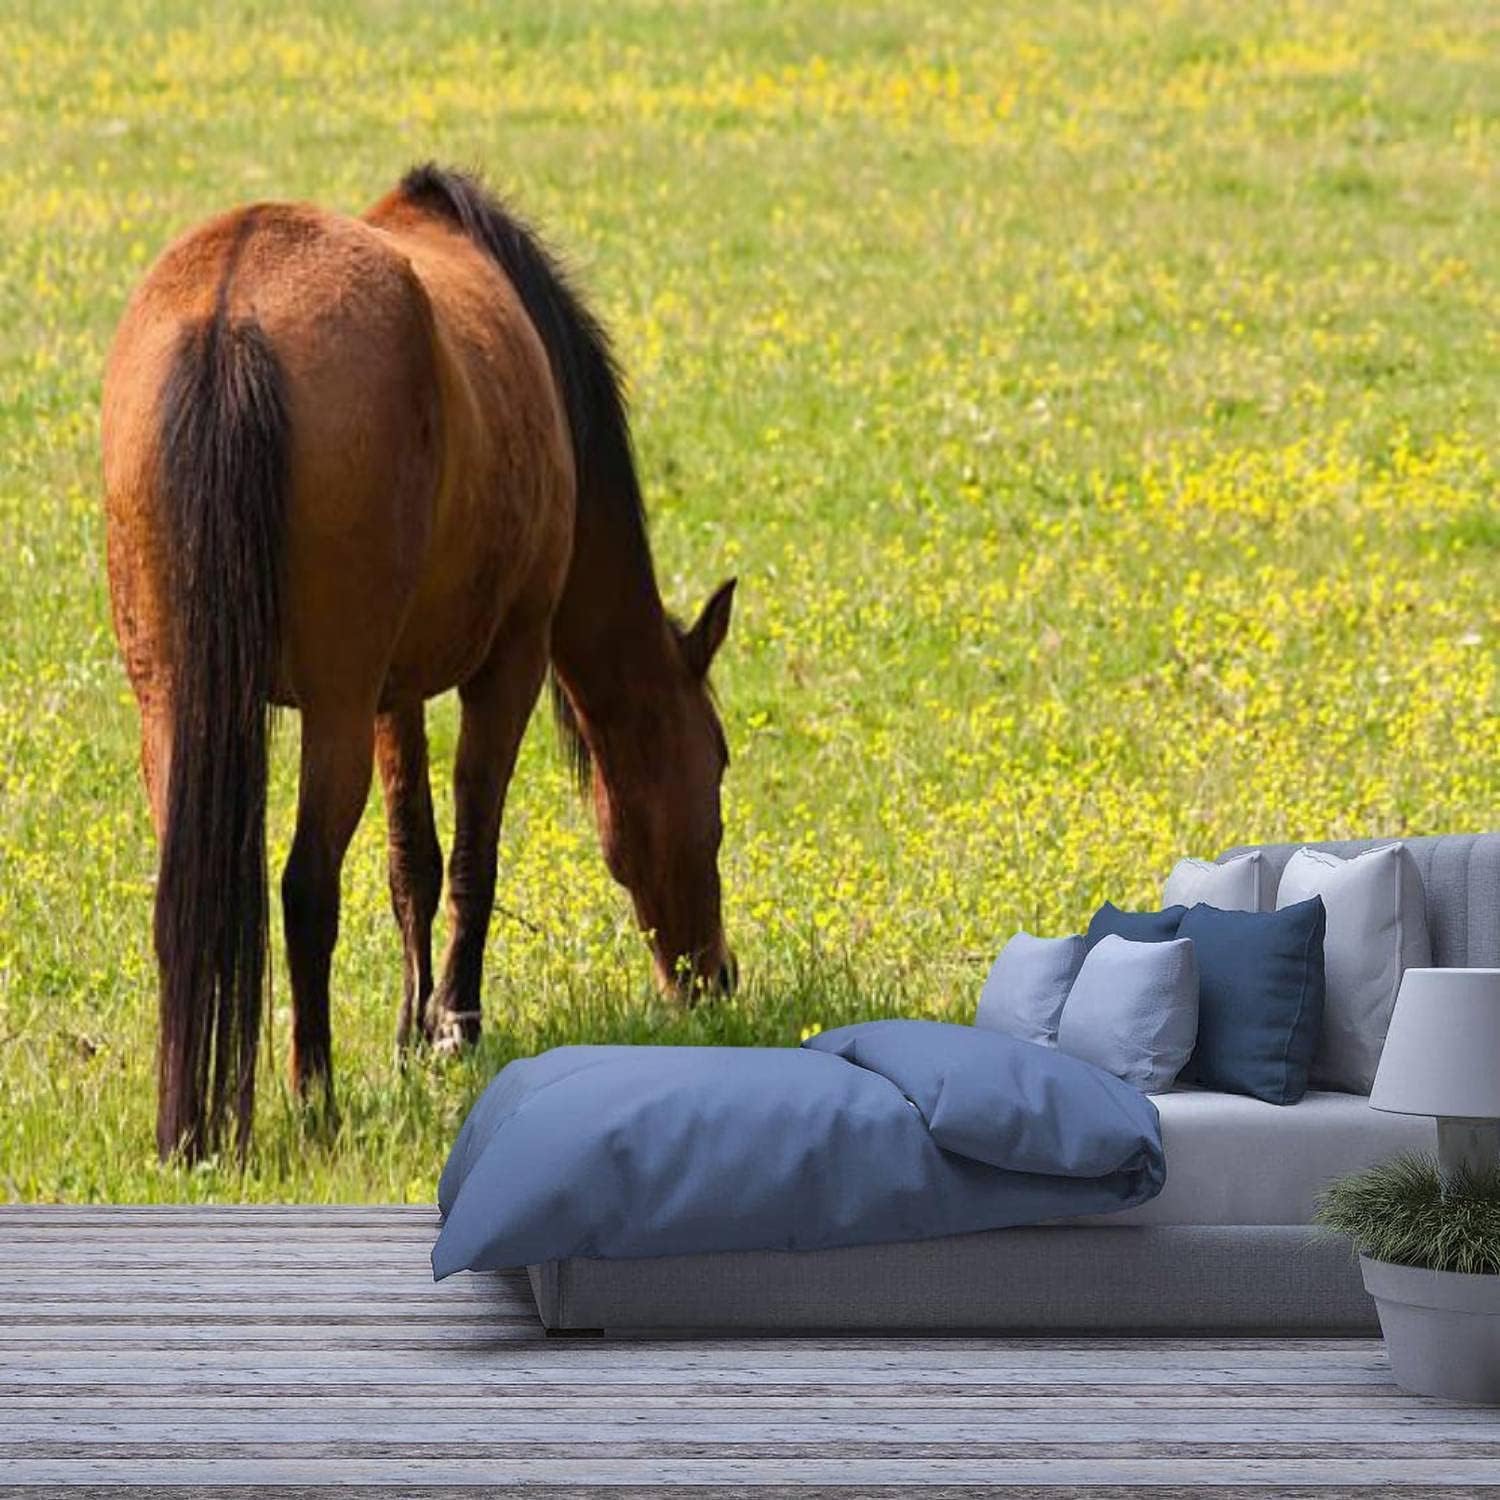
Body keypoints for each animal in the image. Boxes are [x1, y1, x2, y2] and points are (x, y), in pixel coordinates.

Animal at [102, 164, 737, 1162]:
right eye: (715, 765)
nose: (715, 978)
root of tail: (229, 313)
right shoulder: (507, 662)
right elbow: (475, 853)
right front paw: (454, 1025)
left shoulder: (389, 697)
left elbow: (415, 862)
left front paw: (410, 1028)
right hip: (329, 707)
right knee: (306, 887)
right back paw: (313, 1092)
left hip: (176, 704)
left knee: (191, 894)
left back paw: (191, 1127)